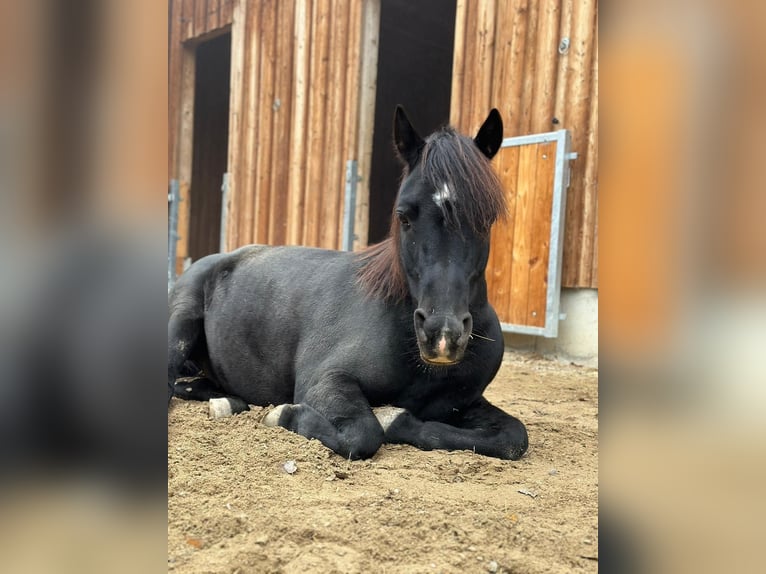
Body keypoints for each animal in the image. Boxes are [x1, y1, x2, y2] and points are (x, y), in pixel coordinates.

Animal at [167, 106, 528, 462]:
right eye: (404, 216)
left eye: (486, 219)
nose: (442, 334)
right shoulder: (326, 382)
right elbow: (363, 434)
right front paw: (282, 413)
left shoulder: (463, 404)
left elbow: (513, 437)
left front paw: (395, 418)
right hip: (180, 328)